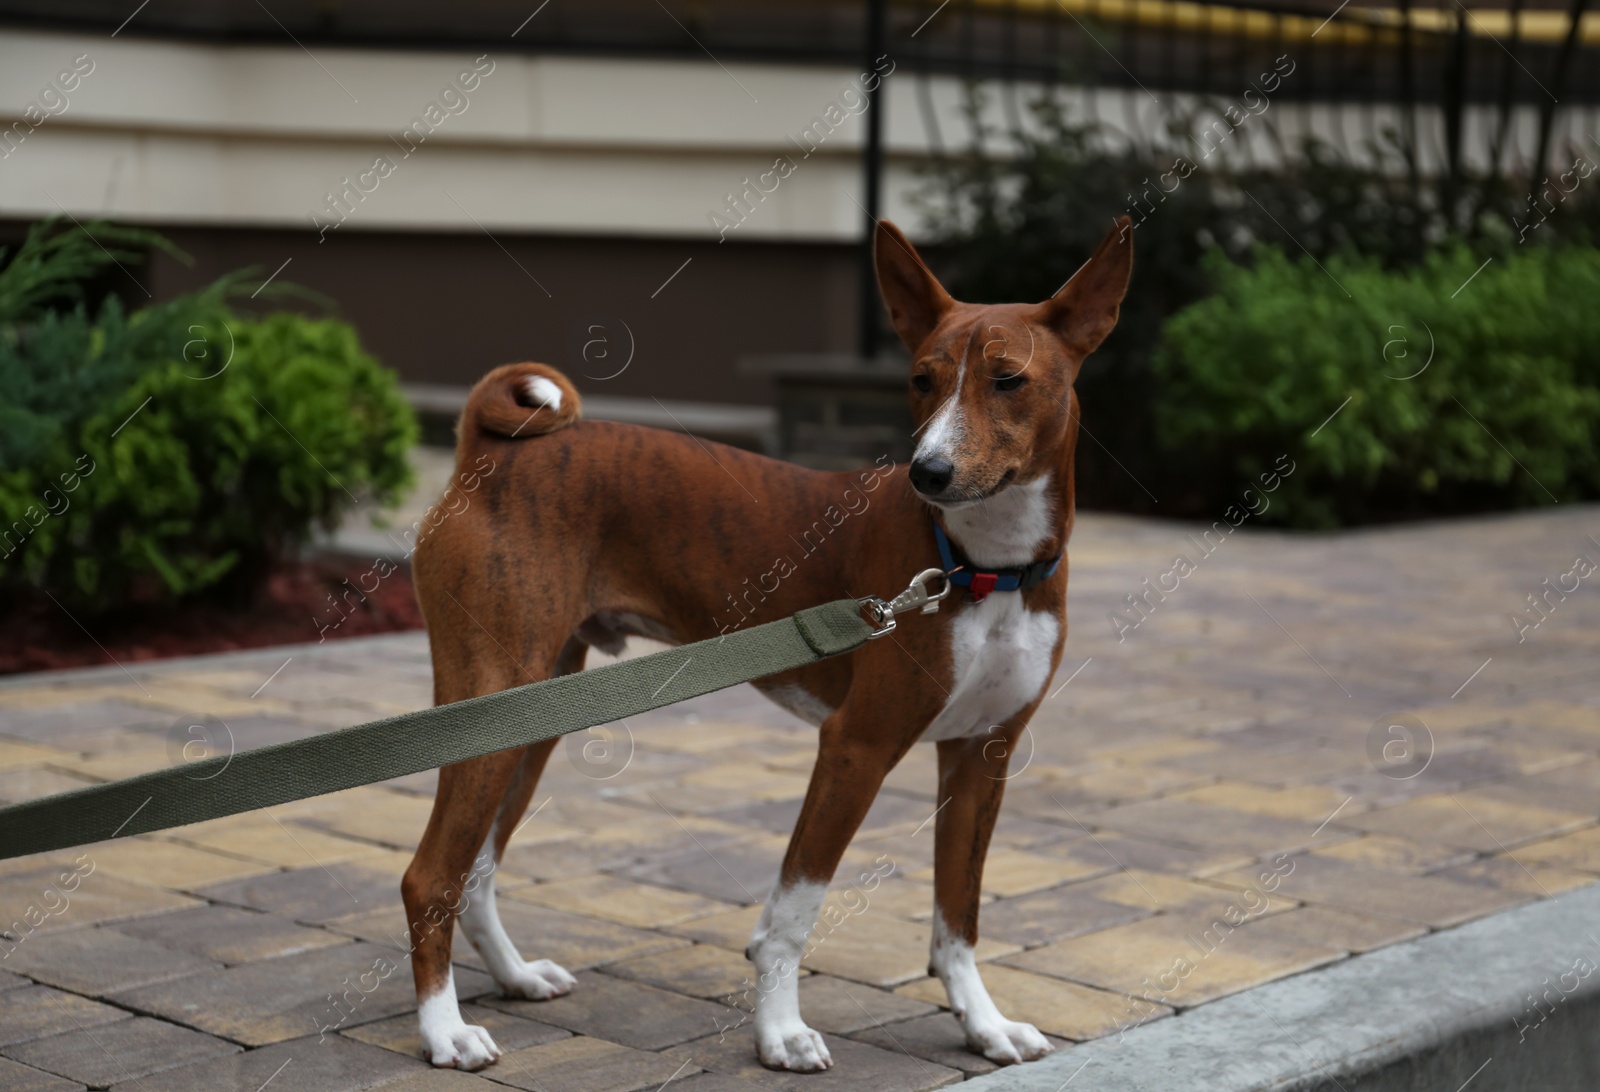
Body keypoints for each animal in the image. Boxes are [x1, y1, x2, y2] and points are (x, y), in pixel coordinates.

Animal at [406, 216, 1132, 1069]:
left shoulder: (983, 752)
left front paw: (983, 1024)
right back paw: (444, 1030)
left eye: (1008, 380)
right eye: (921, 380)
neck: (983, 567)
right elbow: (790, 916)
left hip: (531, 719)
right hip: (488, 707)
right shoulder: (855, 746)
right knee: (430, 876)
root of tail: (491, 453)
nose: (928, 472)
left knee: (475, 870)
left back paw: (515, 977)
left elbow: (959, 918)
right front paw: (780, 1032)